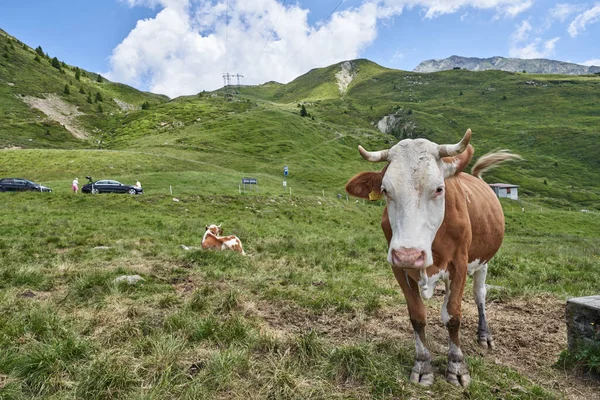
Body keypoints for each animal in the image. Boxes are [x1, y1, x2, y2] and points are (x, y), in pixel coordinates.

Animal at [346, 130, 520, 388]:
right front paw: (422, 365)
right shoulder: (399, 268)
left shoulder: (459, 264)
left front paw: (457, 366)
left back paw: (484, 335)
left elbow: (453, 315)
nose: (408, 254)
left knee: (480, 294)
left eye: (439, 188)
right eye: (385, 190)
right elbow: (417, 315)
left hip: (483, 262)